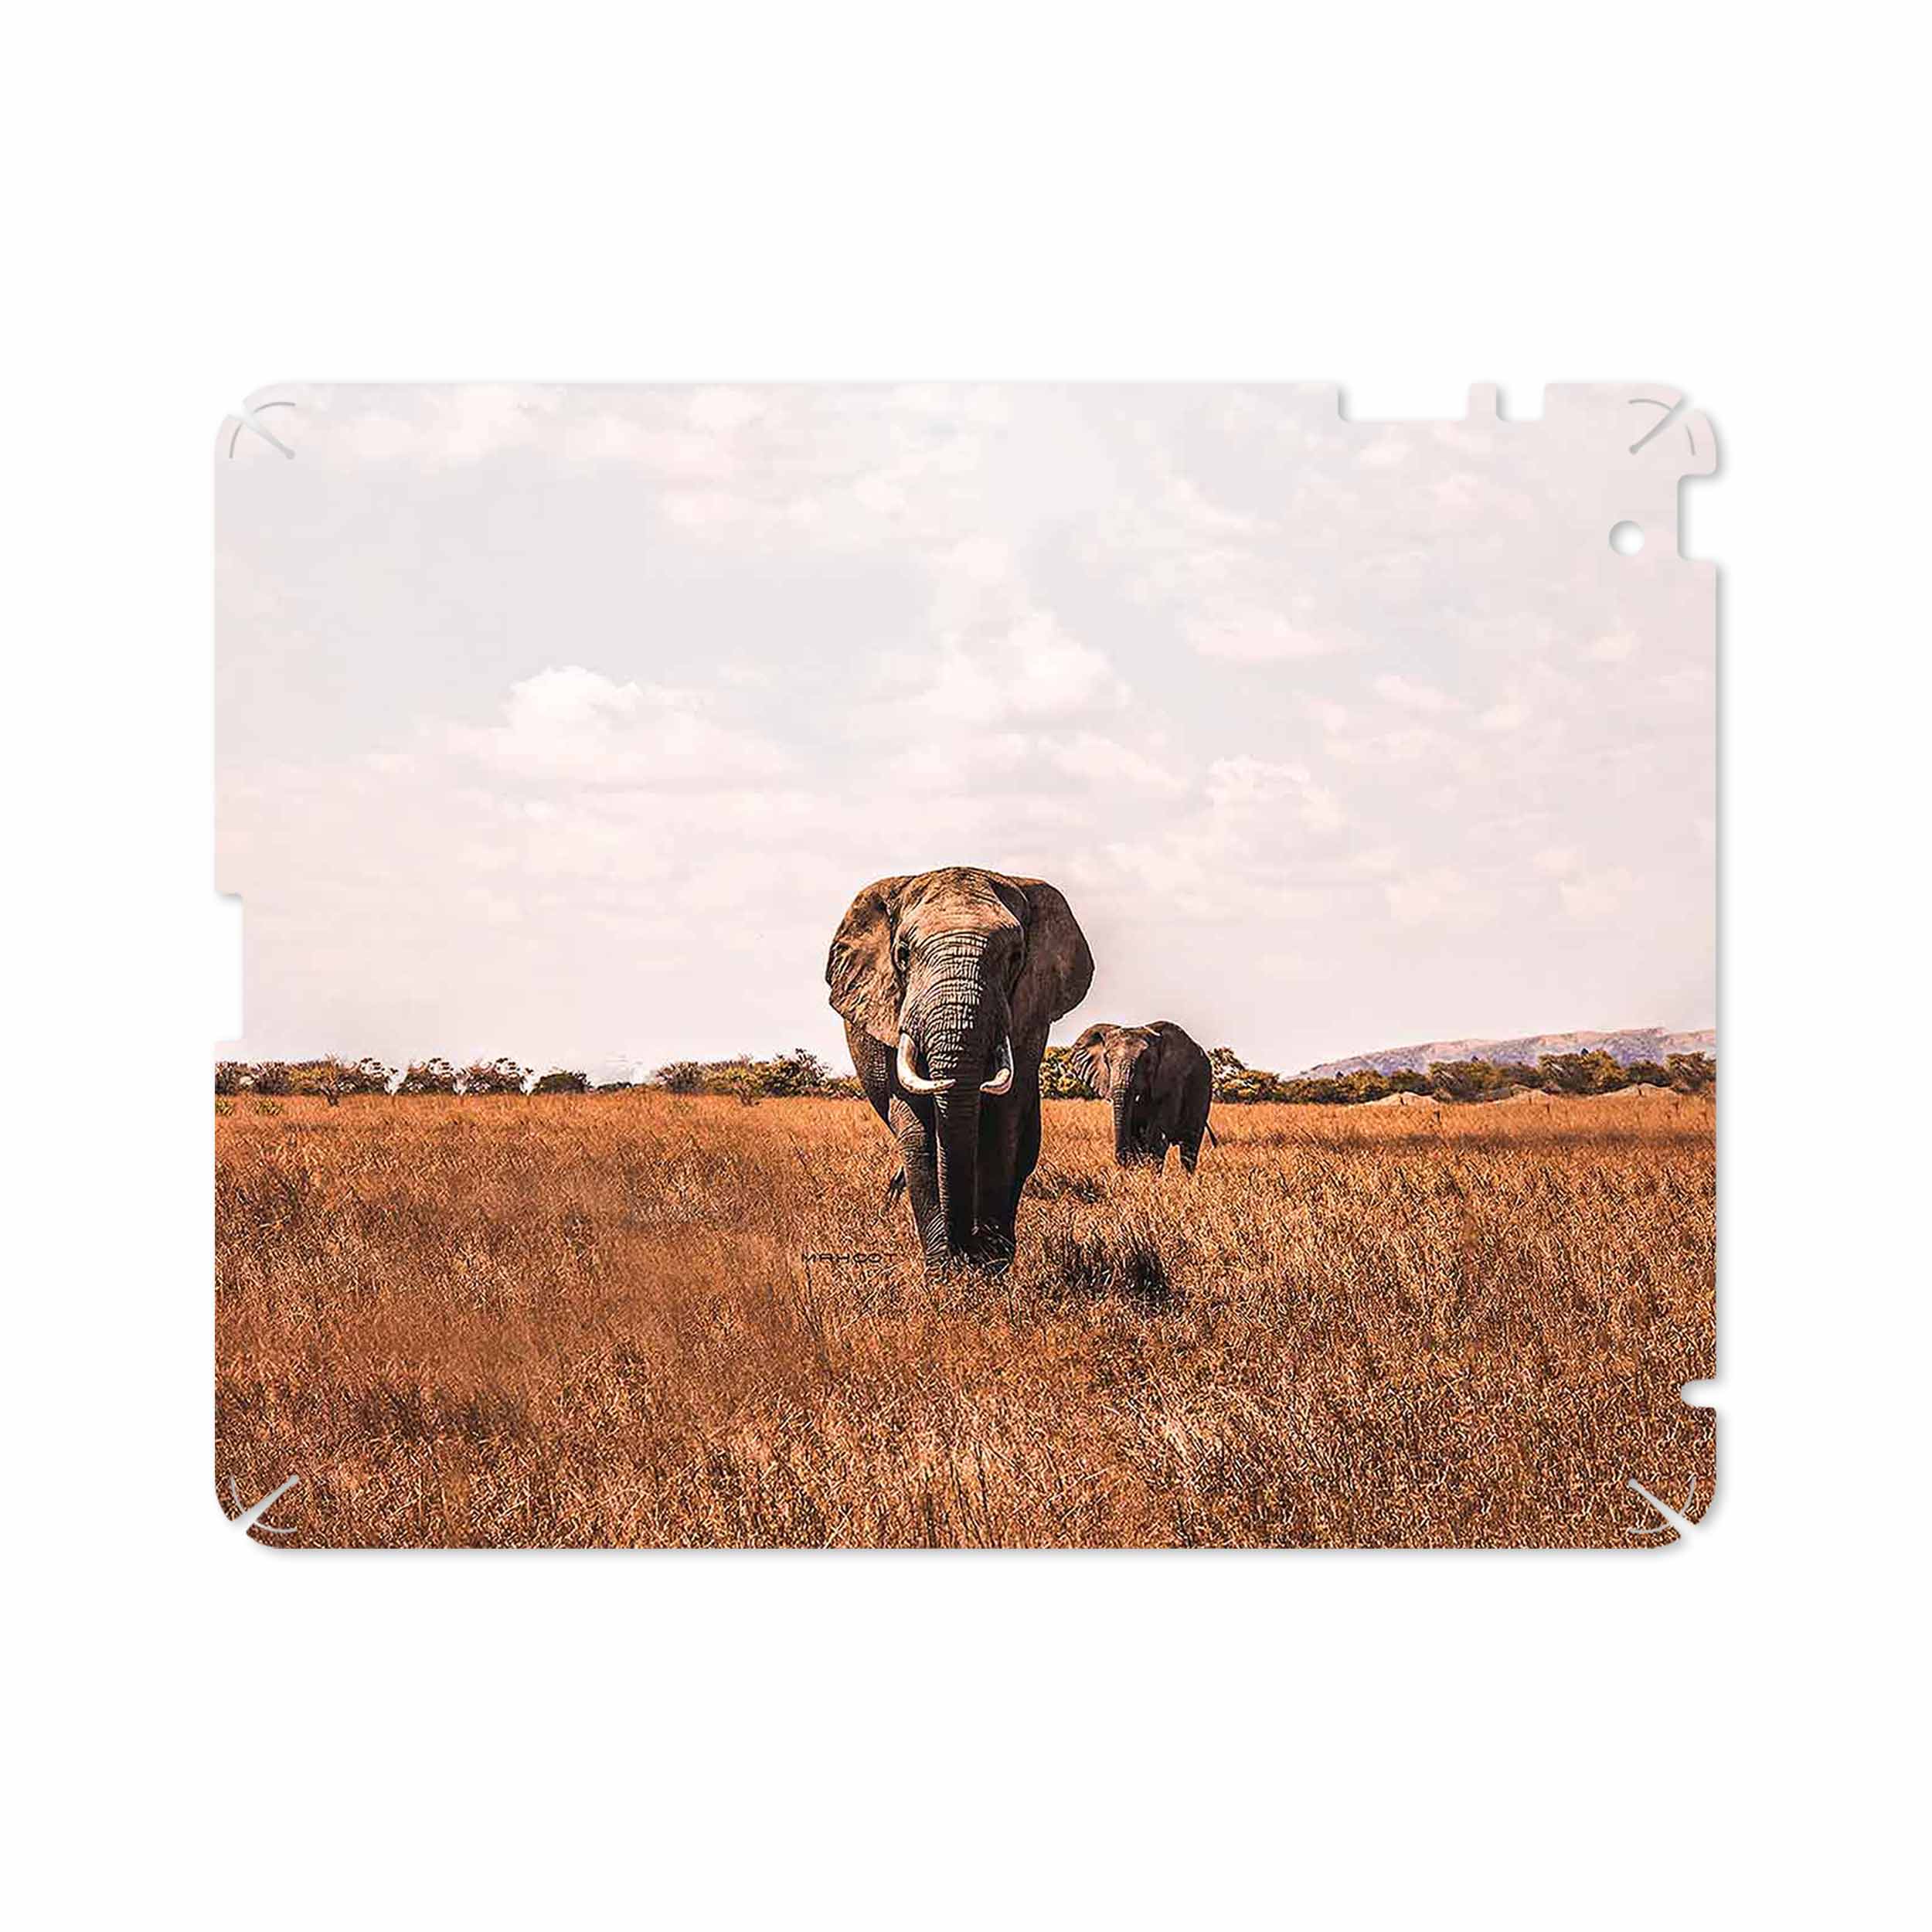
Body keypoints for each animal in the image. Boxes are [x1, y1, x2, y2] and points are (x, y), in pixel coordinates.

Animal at [827, 866, 1093, 1270]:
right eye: (903, 955)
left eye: (1015, 956)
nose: (965, 1249)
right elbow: (918, 1132)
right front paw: (944, 1273)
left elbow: (1002, 1124)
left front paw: (989, 1268)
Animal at [1071, 1020, 1215, 1172]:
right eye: (1106, 1060)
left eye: (1147, 1061)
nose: (1122, 1163)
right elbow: (1135, 1133)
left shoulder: (1173, 1080)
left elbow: (1157, 1135)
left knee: (1189, 1145)